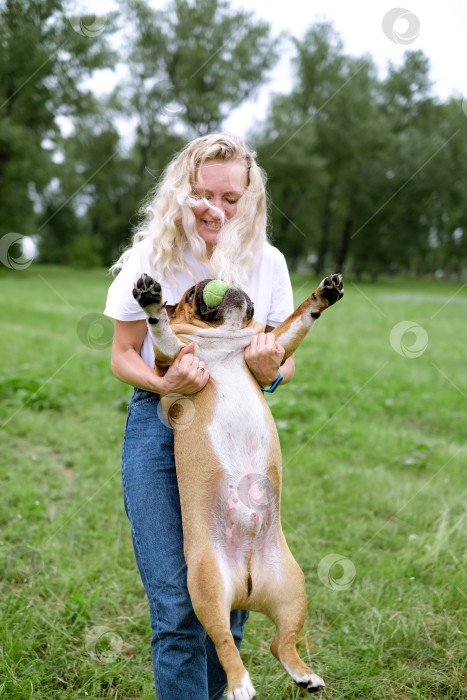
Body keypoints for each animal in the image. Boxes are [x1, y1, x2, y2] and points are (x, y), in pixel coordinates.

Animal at [132, 270, 344, 696]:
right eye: (189, 294)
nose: (215, 279)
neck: (223, 337)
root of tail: (246, 580)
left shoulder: (273, 344)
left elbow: (299, 320)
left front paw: (323, 295)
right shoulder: (173, 360)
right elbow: (161, 331)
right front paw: (151, 303)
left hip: (292, 590)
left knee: (280, 643)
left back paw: (305, 675)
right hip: (208, 587)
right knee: (224, 641)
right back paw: (240, 684)